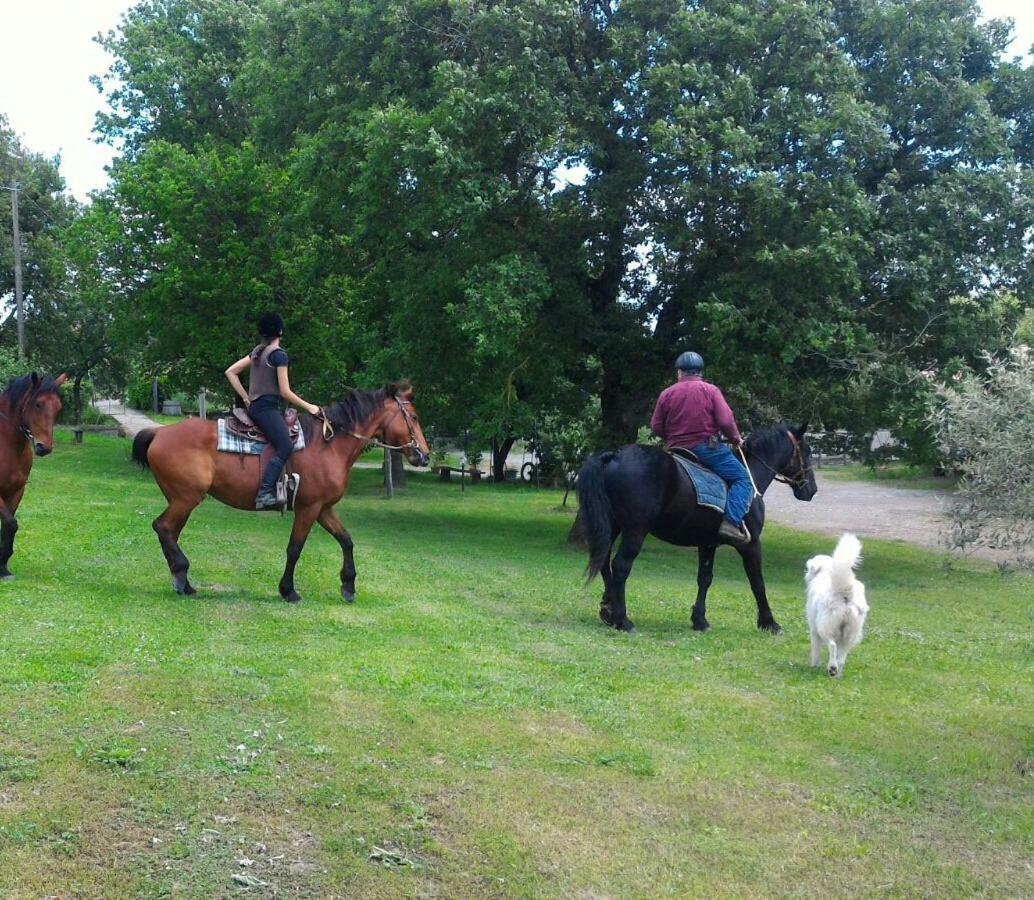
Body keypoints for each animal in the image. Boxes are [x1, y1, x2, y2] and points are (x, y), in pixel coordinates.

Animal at [0, 372, 68, 579]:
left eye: (58, 407)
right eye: (38, 404)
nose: (43, 447)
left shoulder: (15, 492)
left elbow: (7, 527)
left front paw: (3, 568)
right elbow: (11, 523)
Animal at [131, 382, 430, 604]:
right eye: (414, 417)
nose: (425, 456)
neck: (328, 446)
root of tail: (158, 434)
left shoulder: (324, 508)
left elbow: (346, 540)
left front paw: (348, 586)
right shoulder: (309, 508)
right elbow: (295, 548)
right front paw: (289, 590)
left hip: (182, 500)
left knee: (169, 532)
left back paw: (182, 581)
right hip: (186, 499)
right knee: (162, 527)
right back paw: (182, 574)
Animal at [579, 428, 810, 633]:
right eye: (807, 451)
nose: (811, 489)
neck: (751, 474)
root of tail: (615, 455)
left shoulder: (707, 544)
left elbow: (705, 578)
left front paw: (699, 620)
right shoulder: (751, 544)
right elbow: (757, 582)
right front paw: (769, 623)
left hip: (612, 526)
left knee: (604, 560)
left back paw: (608, 609)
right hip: (635, 530)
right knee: (620, 566)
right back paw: (622, 619)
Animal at [802, 533, 868, 678]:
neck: (826, 573)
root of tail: (844, 592)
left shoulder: (814, 629)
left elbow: (815, 649)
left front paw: (814, 665)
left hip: (825, 628)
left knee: (832, 646)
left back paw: (832, 668)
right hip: (850, 635)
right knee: (842, 657)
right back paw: (836, 673)